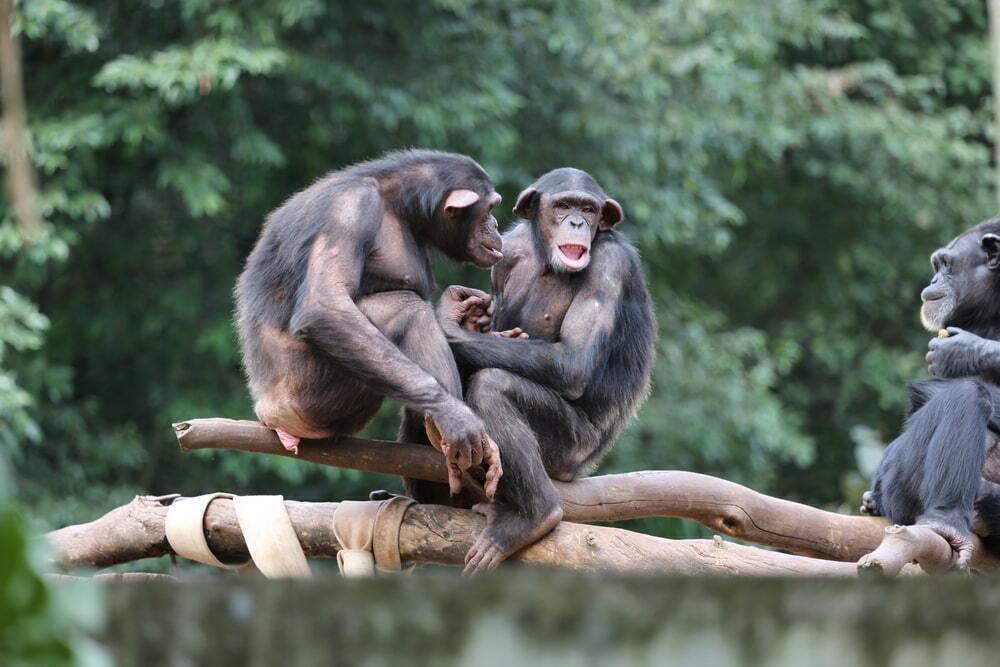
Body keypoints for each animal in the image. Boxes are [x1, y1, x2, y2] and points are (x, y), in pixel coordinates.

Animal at [234, 150, 504, 506]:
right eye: (488, 210)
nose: (496, 225)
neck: (398, 203)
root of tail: (268, 414)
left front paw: (464, 312)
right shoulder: (349, 210)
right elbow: (326, 304)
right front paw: (455, 416)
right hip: (309, 401)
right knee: (404, 308)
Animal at [438, 168, 656, 576]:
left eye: (588, 208)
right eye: (563, 206)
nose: (577, 222)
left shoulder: (610, 266)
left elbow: (572, 361)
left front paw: (447, 321)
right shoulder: (506, 253)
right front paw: (473, 318)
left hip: (570, 449)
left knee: (494, 386)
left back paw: (536, 516)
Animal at [864, 218, 1000, 568]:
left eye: (946, 265)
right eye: (937, 266)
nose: (934, 279)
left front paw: (964, 351)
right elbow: (925, 391)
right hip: (901, 487)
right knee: (967, 395)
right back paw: (946, 522)